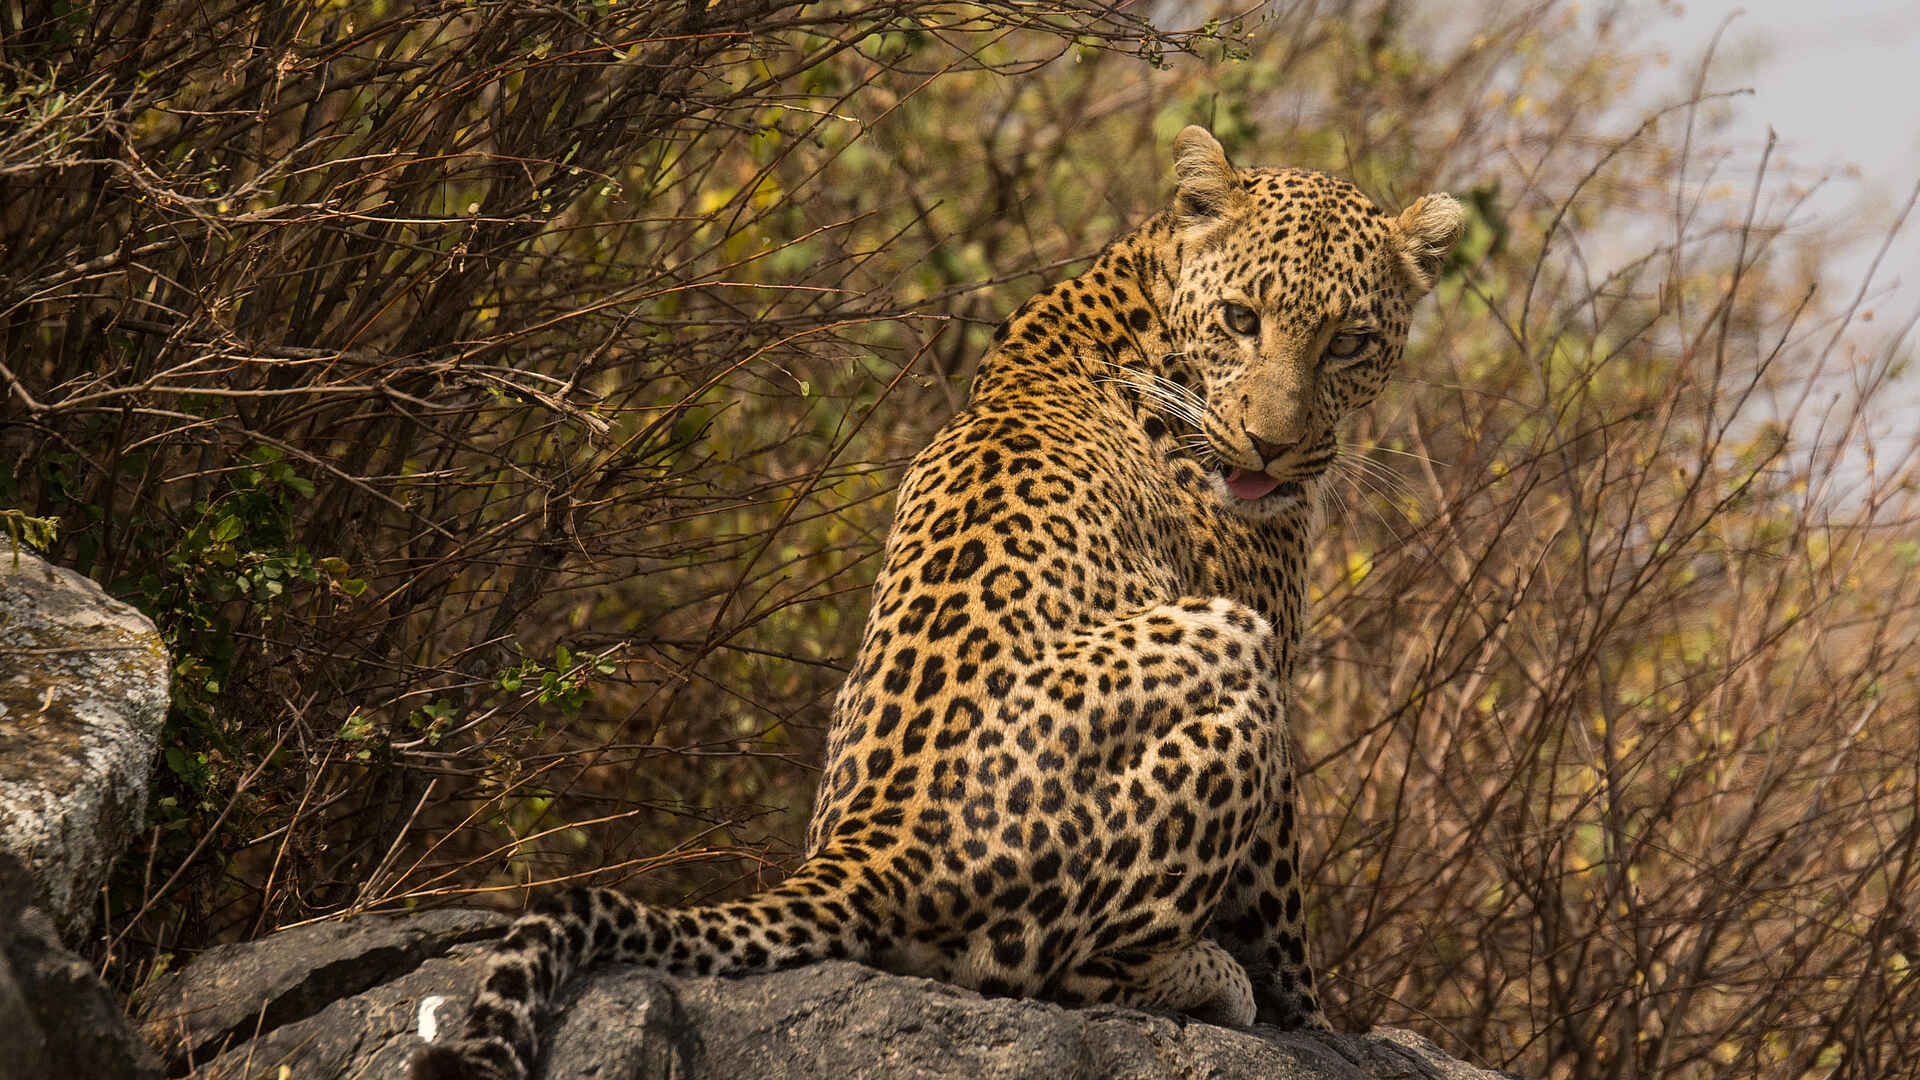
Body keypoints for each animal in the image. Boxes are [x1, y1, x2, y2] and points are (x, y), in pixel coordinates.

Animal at [412, 125, 1463, 1080]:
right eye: (1244, 319)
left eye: (1351, 343)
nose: (1270, 448)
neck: (1145, 285)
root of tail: (873, 848)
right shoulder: (1269, 648)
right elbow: (1284, 916)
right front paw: (1315, 1020)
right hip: (1225, 643)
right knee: (1060, 971)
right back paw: (1212, 980)